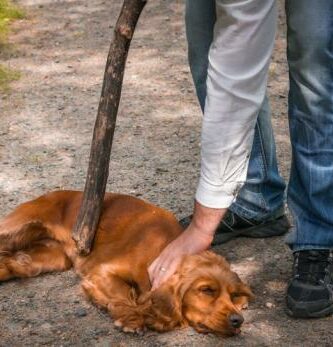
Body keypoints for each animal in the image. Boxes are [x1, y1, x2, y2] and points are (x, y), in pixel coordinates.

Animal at [0, 192, 252, 336]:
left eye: (232, 295)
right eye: (206, 290)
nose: (237, 321)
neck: (162, 249)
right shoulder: (102, 272)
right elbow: (123, 293)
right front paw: (132, 319)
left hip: (49, 257)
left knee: (14, 261)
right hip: (17, 228)